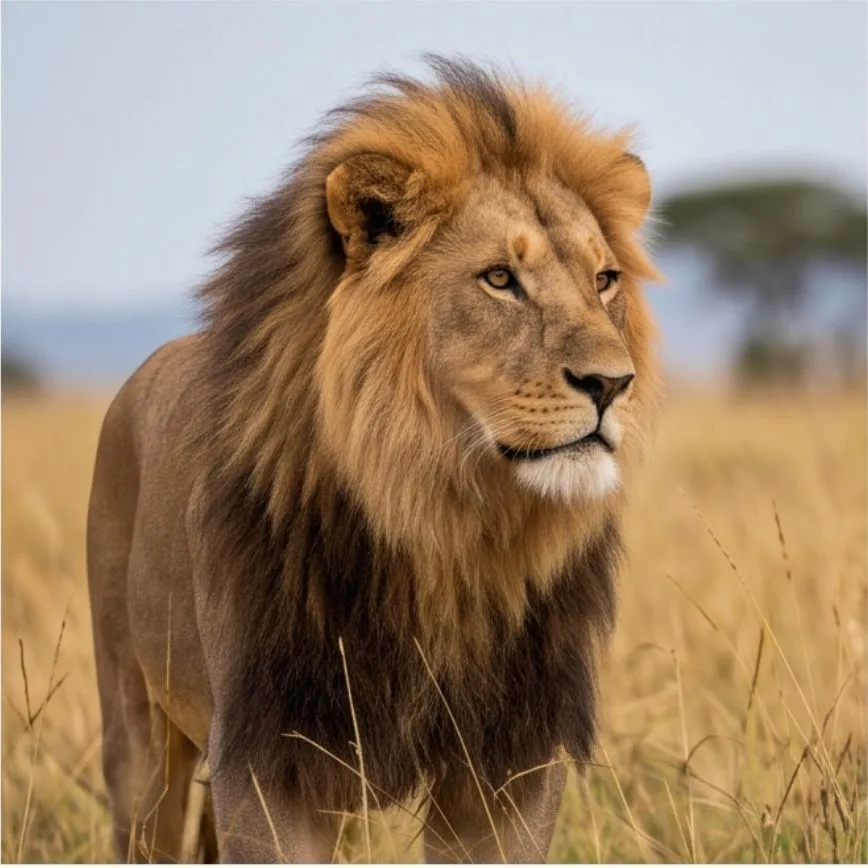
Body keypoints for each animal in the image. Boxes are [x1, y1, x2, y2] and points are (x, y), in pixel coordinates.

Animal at [87, 56, 663, 864]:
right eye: (499, 278)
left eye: (604, 280)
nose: (612, 384)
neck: (443, 524)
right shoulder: (268, 753)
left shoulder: (509, 760)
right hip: (138, 731)